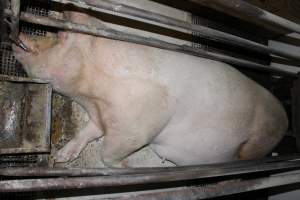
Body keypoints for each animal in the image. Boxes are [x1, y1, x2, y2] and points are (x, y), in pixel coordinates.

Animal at [12, 11, 288, 166]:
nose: (18, 36)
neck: (92, 94)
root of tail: (285, 120)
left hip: (260, 139)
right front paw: (60, 158)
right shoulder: (103, 115)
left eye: (57, 37)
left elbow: (108, 153)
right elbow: (89, 131)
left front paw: (124, 167)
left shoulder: (142, 118)